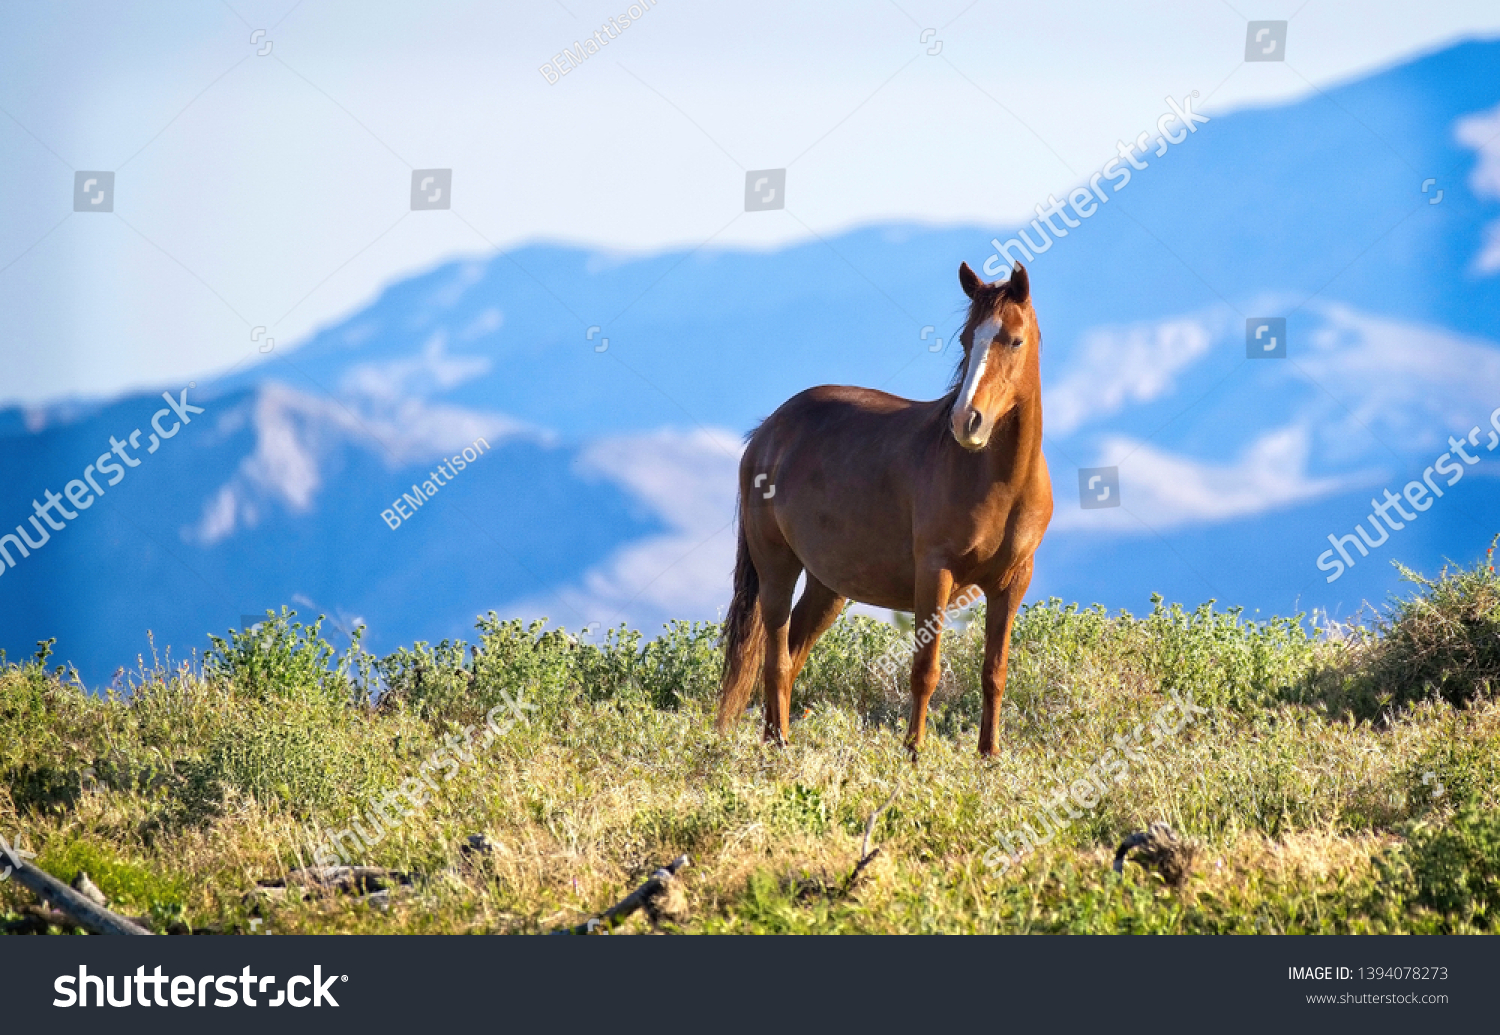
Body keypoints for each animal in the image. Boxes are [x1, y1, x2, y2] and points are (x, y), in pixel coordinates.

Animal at [717, 262, 1056, 753]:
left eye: (1013, 339)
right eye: (965, 340)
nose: (966, 421)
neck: (1000, 483)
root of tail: (767, 432)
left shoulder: (1012, 582)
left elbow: (994, 673)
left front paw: (989, 755)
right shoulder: (935, 573)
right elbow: (925, 671)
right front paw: (913, 752)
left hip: (827, 586)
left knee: (793, 655)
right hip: (776, 569)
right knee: (775, 659)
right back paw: (778, 748)